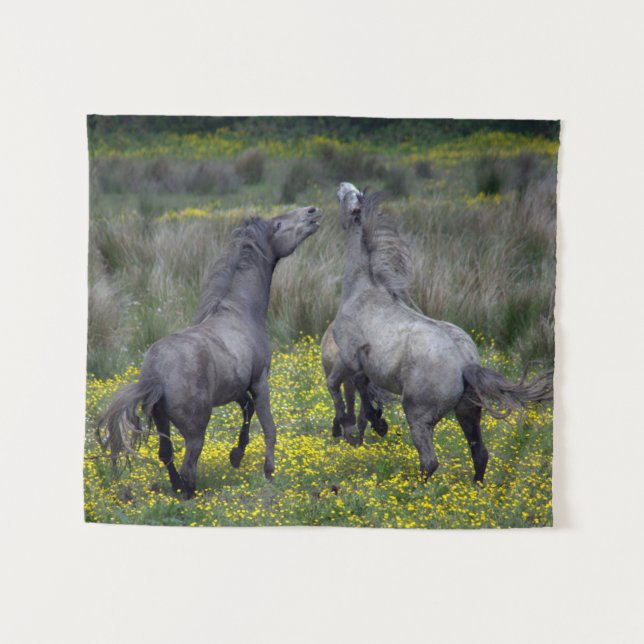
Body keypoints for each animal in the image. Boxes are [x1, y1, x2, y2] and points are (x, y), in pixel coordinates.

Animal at [97, 205, 323, 498]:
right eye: (279, 225)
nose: (312, 211)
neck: (240, 312)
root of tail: (155, 373)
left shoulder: (237, 388)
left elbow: (248, 410)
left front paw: (236, 456)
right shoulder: (260, 381)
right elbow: (269, 427)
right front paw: (269, 471)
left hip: (162, 421)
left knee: (166, 454)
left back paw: (179, 489)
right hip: (195, 428)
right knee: (188, 463)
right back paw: (189, 493)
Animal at [331, 183, 552, 482]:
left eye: (349, 197)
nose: (342, 186)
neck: (362, 290)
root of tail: (464, 364)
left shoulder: (348, 357)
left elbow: (337, 386)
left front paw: (349, 427)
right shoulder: (364, 364)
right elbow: (363, 387)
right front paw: (375, 421)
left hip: (419, 415)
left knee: (430, 461)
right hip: (468, 411)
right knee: (480, 453)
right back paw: (476, 489)